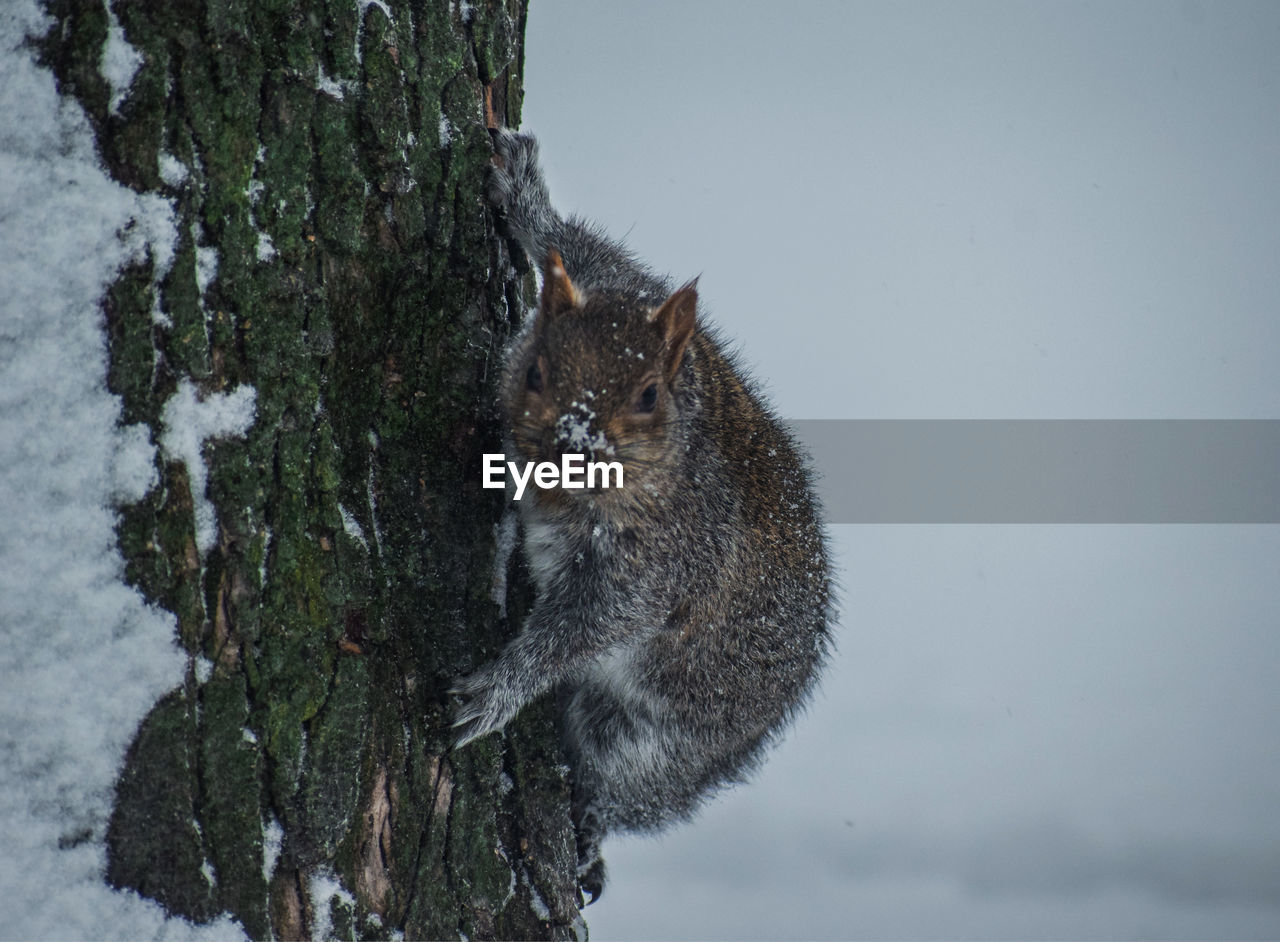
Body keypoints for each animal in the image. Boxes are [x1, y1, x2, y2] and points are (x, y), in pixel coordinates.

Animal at [455, 132, 834, 906]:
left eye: (650, 394)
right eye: (535, 371)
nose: (574, 443)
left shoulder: (665, 559)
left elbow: (590, 623)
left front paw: (501, 687)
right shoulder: (616, 287)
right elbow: (590, 251)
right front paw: (525, 194)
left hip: (653, 741)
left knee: (622, 791)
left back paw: (587, 836)